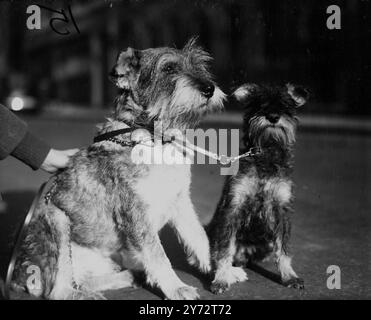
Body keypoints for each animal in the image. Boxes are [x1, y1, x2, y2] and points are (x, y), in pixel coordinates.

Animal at [13, 39, 225, 300]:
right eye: (168, 68)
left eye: (198, 64)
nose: (209, 88)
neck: (152, 139)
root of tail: (19, 274)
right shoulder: (136, 215)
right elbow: (158, 255)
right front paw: (178, 288)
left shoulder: (181, 202)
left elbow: (198, 236)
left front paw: (223, 271)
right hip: (55, 220)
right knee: (59, 289)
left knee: (83, 280)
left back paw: (128, 276)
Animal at [209, 83, 308, 296]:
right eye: (259, 103)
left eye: (286, 104)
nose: (273, 116)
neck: (267, 152)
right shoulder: (233, 207)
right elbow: (224, 249)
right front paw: (221, 279)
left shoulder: (282, 210)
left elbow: (283, 249)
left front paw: (290, 276)